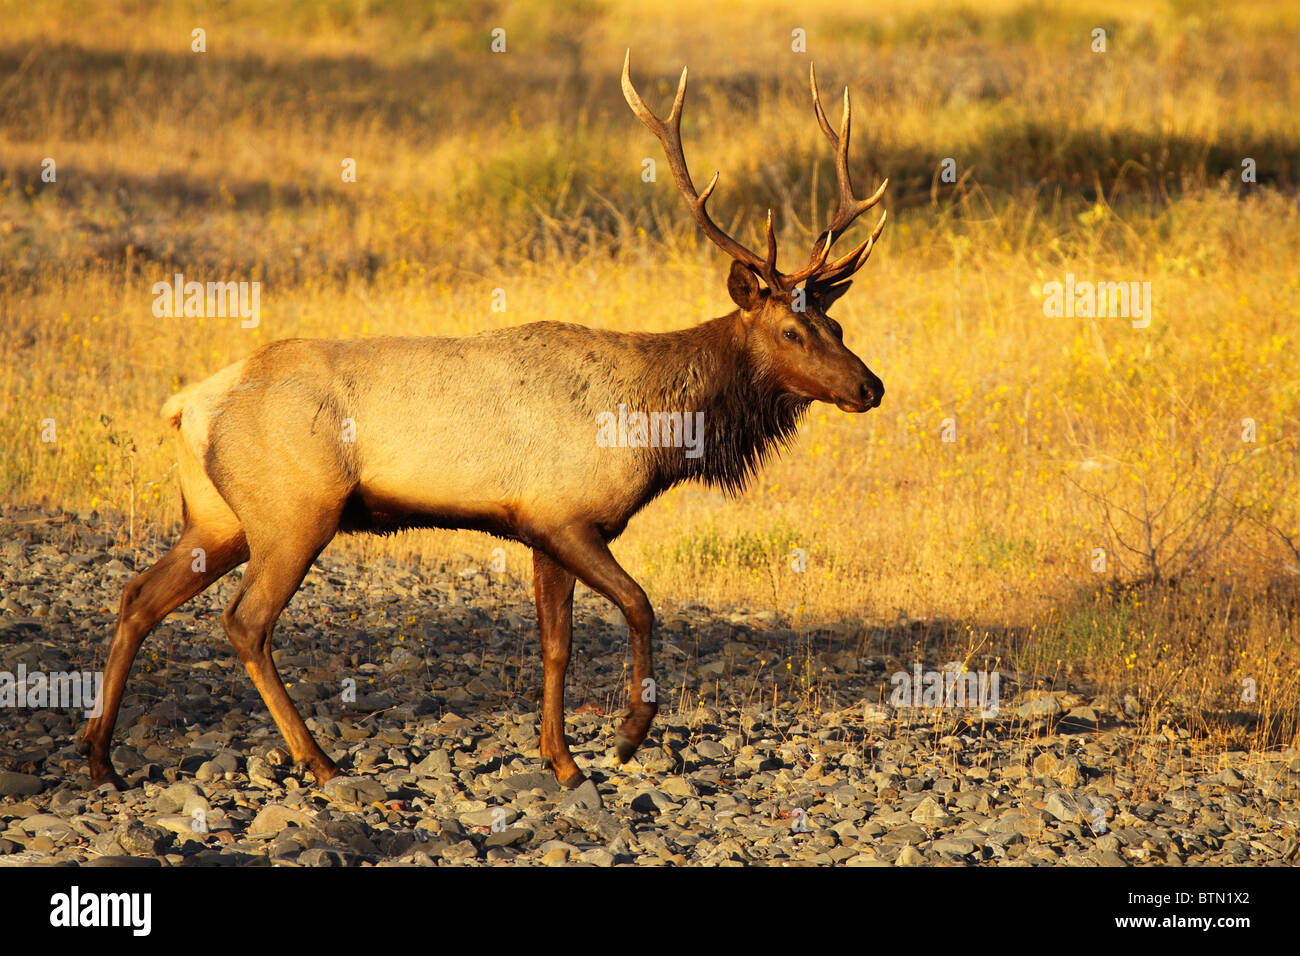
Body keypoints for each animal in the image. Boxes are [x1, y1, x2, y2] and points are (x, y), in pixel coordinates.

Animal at [81, 55, 889, 796]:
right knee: (245, 622)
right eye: (791, 331)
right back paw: (319, 760)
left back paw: (100, 758)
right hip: (293, 511)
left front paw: (562, 760)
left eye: (839, 323)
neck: (652, 427)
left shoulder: (543, 528)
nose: (870, 386)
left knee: (138, 596)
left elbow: (556, 644)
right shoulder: (565, 515)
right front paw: (626, 738)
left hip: (217, 518)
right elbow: (640, 605)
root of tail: (189, 404)